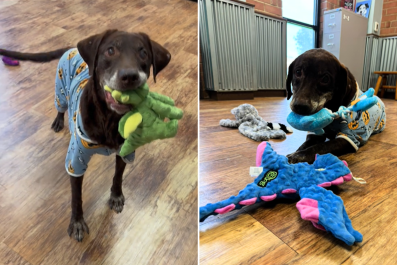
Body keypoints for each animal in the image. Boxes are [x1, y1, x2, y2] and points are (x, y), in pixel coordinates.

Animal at [0, 29, 173, 241]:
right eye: (110, 50)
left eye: (143, 53)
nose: (130, 76)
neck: (110, 118)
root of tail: (72, 48)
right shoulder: (76, 162)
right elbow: (77, 197)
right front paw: (77, 222)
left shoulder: (125, 152)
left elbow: (118, 176)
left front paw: (116, 196)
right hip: (60, 91)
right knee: (61, 107)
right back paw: (59, 121)